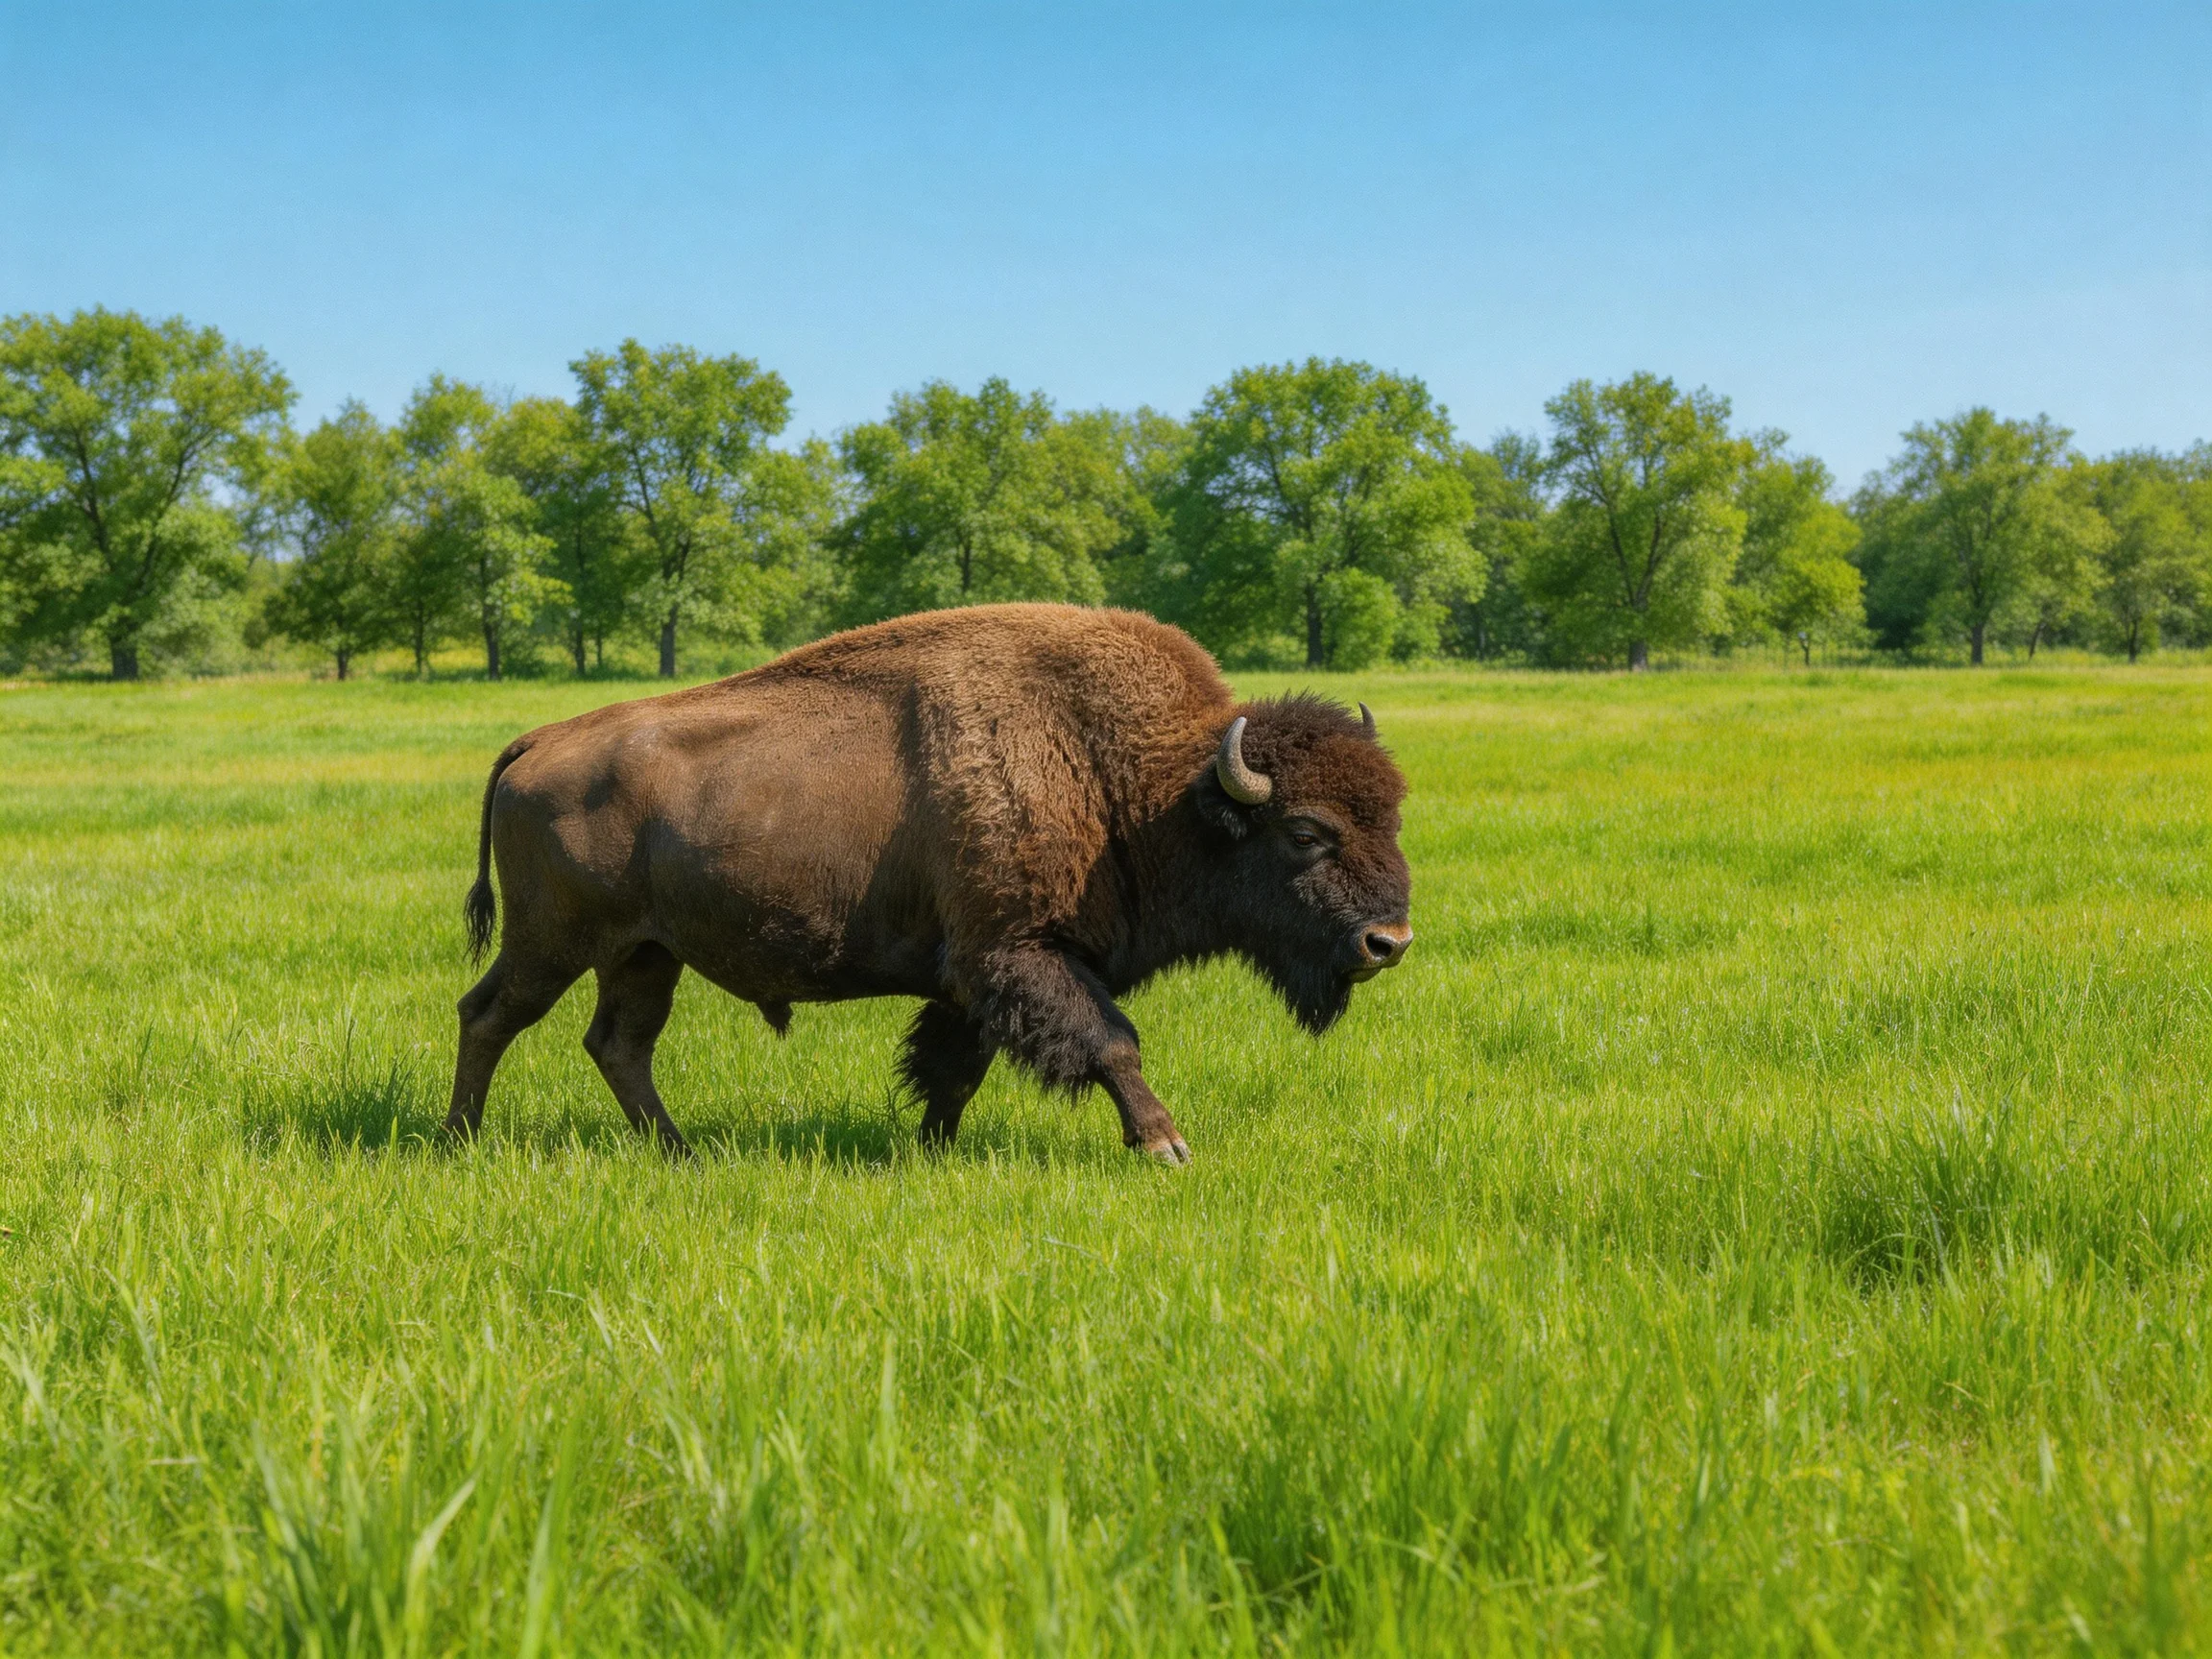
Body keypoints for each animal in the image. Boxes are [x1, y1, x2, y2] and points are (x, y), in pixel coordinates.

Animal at [447, 603, 1412, 1160]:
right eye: (1305, 833)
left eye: (1393, 814)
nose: (1389, 942)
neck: (1143, 785)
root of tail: (537, 741)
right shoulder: (1019, 954)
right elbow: (1110, 1042)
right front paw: (1165, 1146)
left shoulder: (974, 977)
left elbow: (956, 1069)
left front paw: (931, 1151)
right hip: (554, 941)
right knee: (490, 1014)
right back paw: (463, 1141)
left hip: (646, 952)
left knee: (619, 1042)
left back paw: (679, 1152)